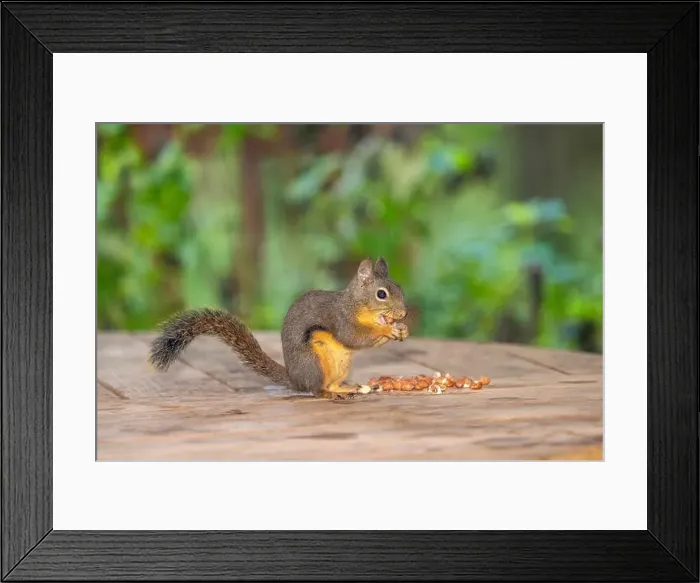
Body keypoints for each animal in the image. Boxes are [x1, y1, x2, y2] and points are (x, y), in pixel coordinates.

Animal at [148, 257, 409, 398]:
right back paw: (328, 393)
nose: (404, 313)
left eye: (399, 287)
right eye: (382, 294)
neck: (356, 305)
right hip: (313, 362)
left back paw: (345, 388)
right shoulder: (340, 318)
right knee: (317, 389)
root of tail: (295, 380)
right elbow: (353, 337)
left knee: (330, 383)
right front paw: (388, 330)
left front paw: (402, 329)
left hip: (341, 366)